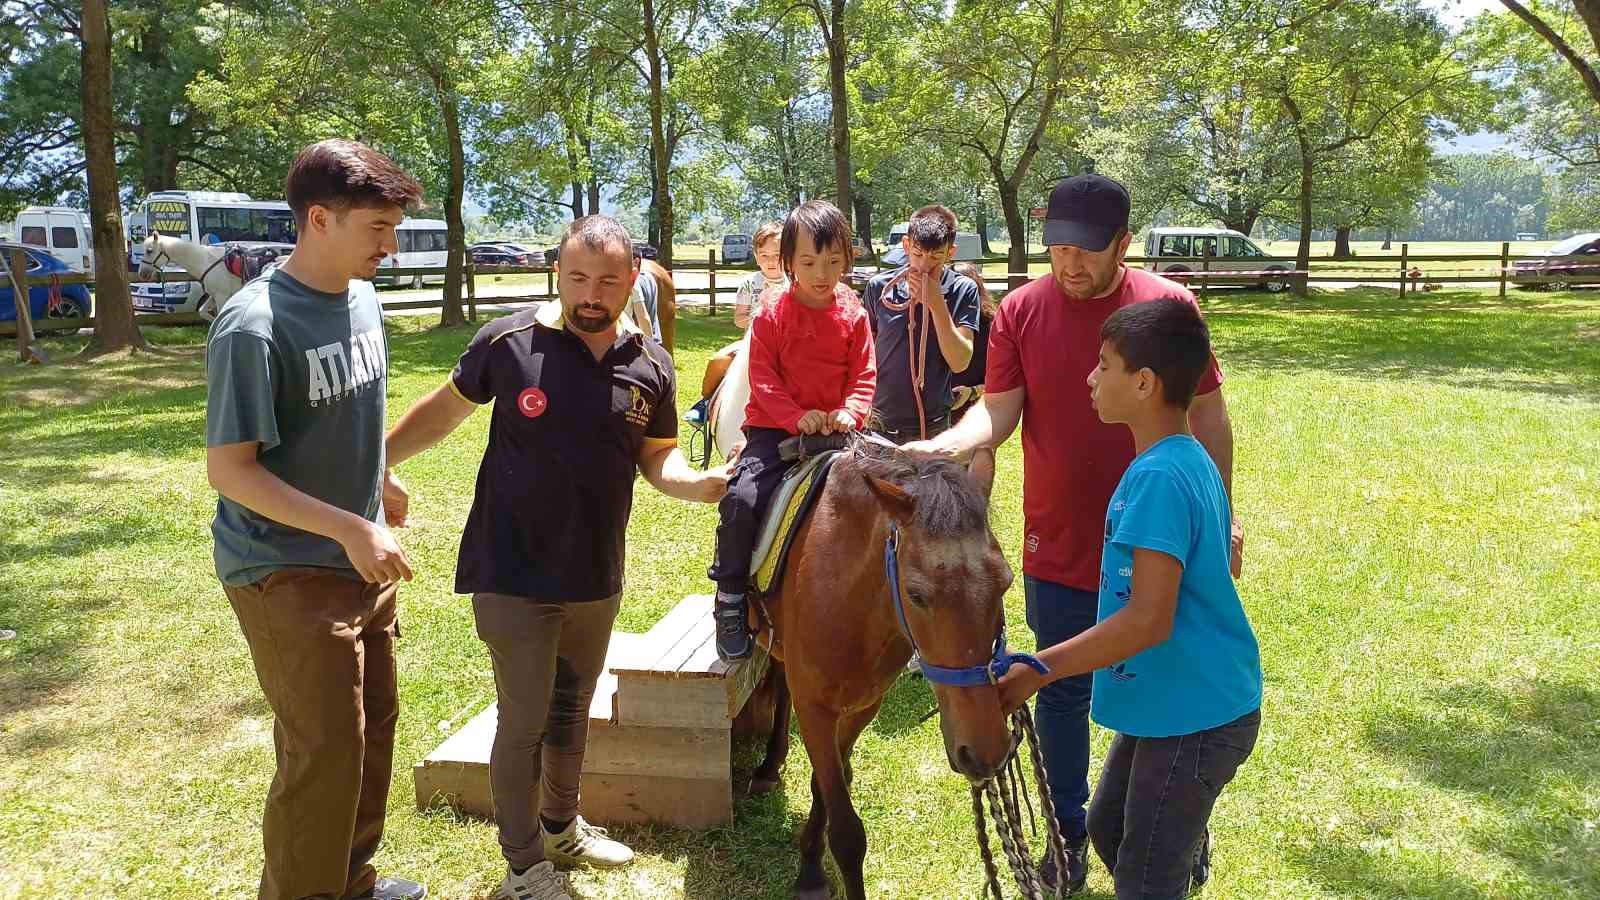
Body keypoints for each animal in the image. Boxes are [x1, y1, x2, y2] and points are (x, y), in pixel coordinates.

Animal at [745, 438, 1011, 896]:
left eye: (1006, 582)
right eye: (916, 595)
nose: (985, 753)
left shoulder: (863, 707)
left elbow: (826, 785)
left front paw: (810, 859)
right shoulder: (816, 710)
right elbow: (847, 833)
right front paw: (812, 875)